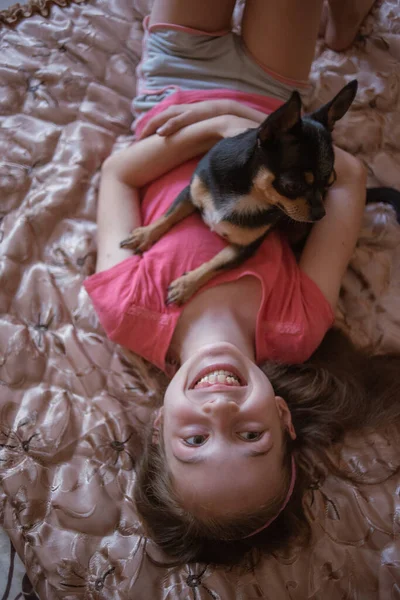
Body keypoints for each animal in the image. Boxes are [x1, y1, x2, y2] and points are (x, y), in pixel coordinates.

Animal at [120, 79, 358, 304]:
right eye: (292, 186)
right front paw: (144, 234)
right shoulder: (190, 193)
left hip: (298, 231)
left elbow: (216, 263)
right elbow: (168, 216)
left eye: (330, 183)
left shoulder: (244, 248)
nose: (321, 214)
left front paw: (186, 285)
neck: (248, 193)